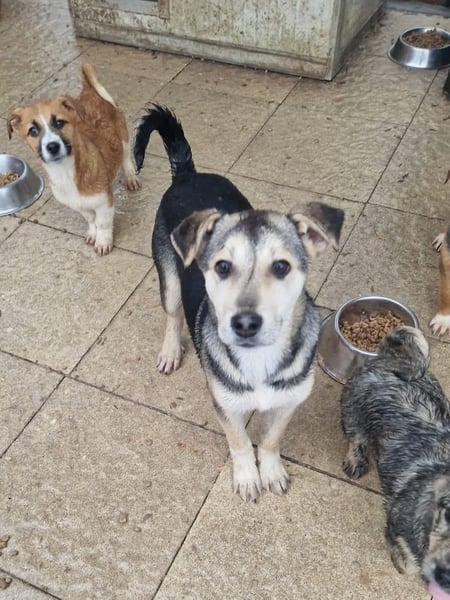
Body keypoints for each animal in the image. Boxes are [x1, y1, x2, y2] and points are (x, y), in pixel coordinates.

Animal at [7, 63, 140, 255]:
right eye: (33, 131)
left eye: (59, 122)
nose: (52, 146)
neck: (65, 171)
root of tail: (88, 92)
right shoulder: (78, 204)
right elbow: (91, 219)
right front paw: (93, 233)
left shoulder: (104, 202)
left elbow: (102, 222)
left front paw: (103, 241)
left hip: (123, 136)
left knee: (126, 158)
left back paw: (131, 178)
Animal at [134, 103, 345, 501]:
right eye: (221, 267)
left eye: (281, 267)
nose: (244, 324)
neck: (259, 359)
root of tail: (188, 175)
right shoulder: (224, 405)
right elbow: (241, 442)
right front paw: (248, 477)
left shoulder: (290, 400)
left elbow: (271, 438)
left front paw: (271, 470)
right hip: (168, 275)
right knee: (172, 314)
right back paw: (170, 350)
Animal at [340, 326, 450, 599]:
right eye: (449, 512)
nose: (444, 576)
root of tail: (391, 359)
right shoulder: (397, 524)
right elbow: (409, 562)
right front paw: (401, 563)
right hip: (351, 410)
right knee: (356, 437)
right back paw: (355, 460)